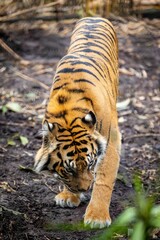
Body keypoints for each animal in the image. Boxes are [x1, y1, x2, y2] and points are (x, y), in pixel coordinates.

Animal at [34, 17, 121, 229]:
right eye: (69, 169)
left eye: (90, 164)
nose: (85, 188)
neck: (68, 111)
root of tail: (94, 17)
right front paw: (69, 196)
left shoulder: (111, 141)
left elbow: (104, 179)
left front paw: (97, 217)